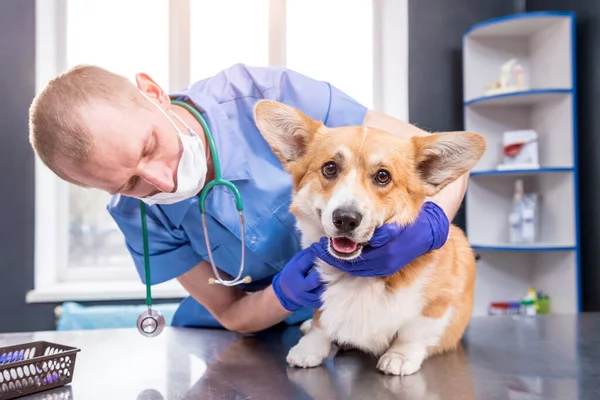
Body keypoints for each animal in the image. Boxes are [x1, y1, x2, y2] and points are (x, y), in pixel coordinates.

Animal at [253, 99, 488, 376]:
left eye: (383, 176)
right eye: (330, 168)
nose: (345, 218)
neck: (358, 270)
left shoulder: (439, 303)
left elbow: (414, 332)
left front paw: (400, 355)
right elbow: (322, 319)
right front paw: (310, 347)